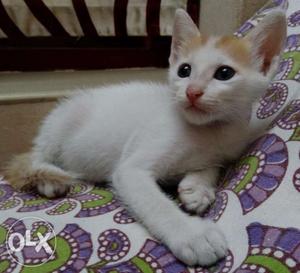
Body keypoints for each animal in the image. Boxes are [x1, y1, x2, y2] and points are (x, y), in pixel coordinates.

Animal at [4, 9, 286, 264]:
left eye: (224, 74)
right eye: (184, 70)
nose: (192, 92)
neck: (208, 132)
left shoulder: (225, 149)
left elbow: (213, 165)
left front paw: (197, 188)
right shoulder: (132, 168)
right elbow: (153, 201)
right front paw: (192, 236)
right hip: (60, 122)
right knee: (36, 156)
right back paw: (48, 179)